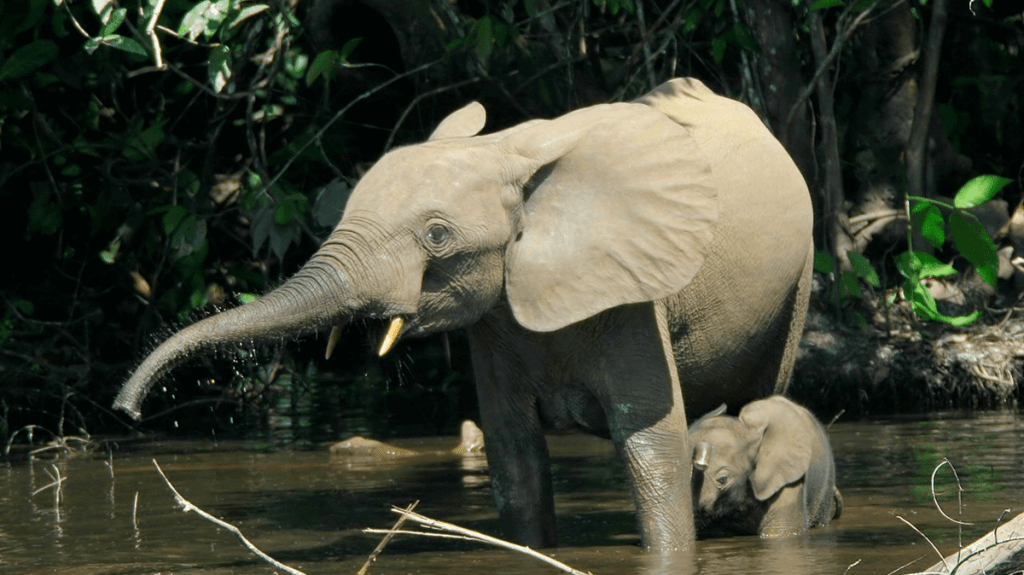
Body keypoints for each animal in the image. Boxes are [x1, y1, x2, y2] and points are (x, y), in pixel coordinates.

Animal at [113, 78, 814, 552]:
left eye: (437, 236)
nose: (127, 411)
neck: (506, 154)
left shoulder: (633, 293)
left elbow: (650, 445)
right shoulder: (496, 319)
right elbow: (514, 457)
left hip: (798, 279)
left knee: (760, 397)